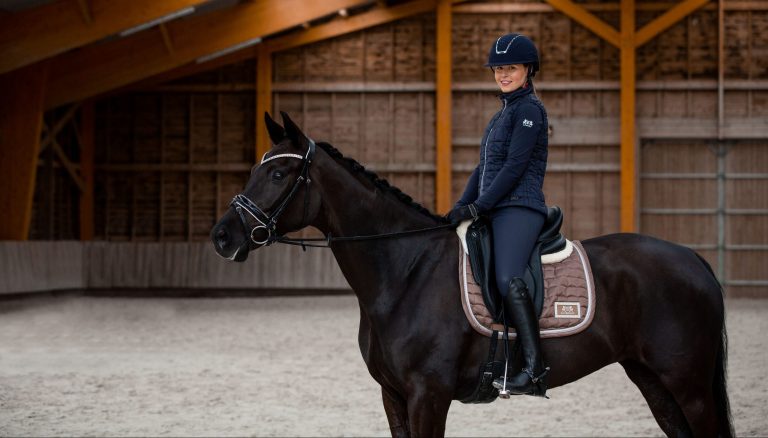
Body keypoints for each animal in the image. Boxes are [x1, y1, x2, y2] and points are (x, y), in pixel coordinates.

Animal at [211, 112, 733, 437]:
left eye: (278, 176)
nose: (221, 236)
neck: (406, 272)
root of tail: (694, 259)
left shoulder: (428, 395)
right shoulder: (393, 395)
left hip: (688, 384)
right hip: (653, 380)